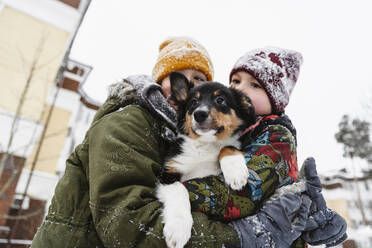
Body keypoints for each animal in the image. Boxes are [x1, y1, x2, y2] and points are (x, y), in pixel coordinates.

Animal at [156, 71, 256, 248]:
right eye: (194, 102)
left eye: (220, 100)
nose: (199, 114)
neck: (205, 144)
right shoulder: (167, 173)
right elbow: (179, 190)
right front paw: (178, 228)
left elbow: (227, 146)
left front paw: (236, 174)